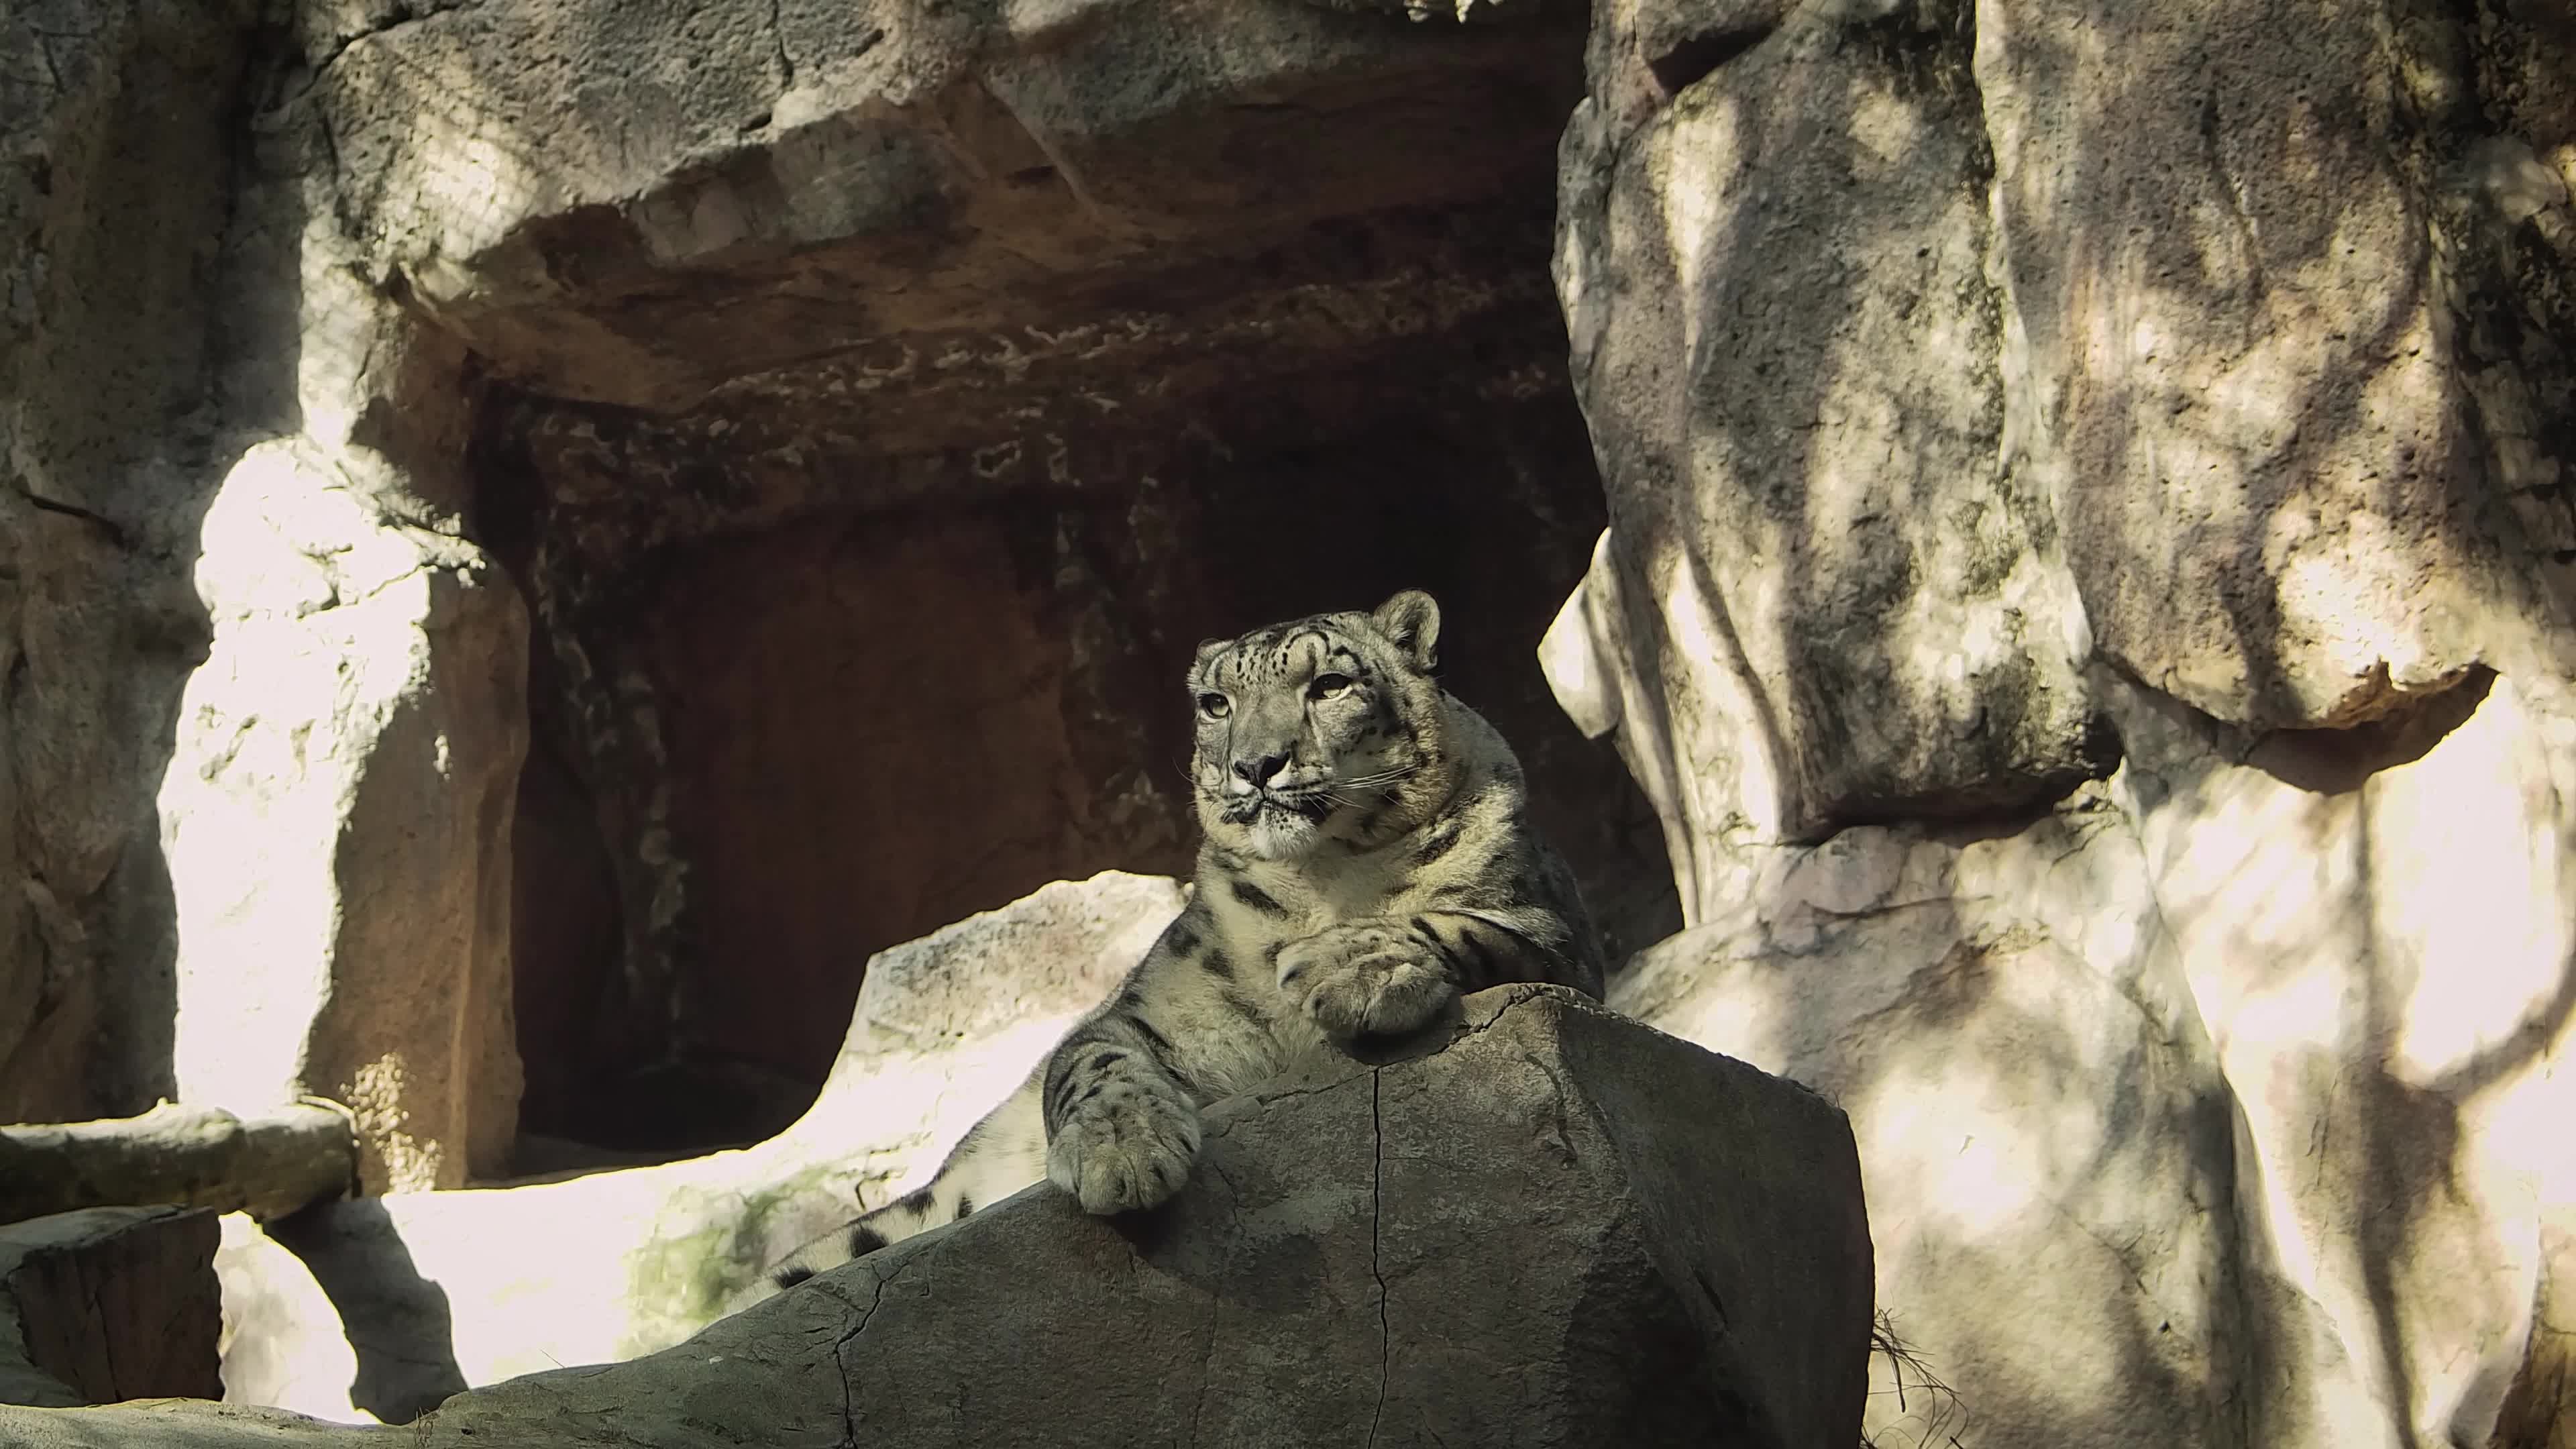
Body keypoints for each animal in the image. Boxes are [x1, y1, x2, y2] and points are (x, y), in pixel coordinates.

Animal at [768, 589, 1604, 1288]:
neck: (1326, 876)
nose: (1256, 764)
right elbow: (1095, 1062)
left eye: (1329, 685)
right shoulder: (1141, 1014)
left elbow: (1463, 923)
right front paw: (1121, 1153)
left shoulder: (1558, 935)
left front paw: (1342, 969)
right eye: (1216, 701)